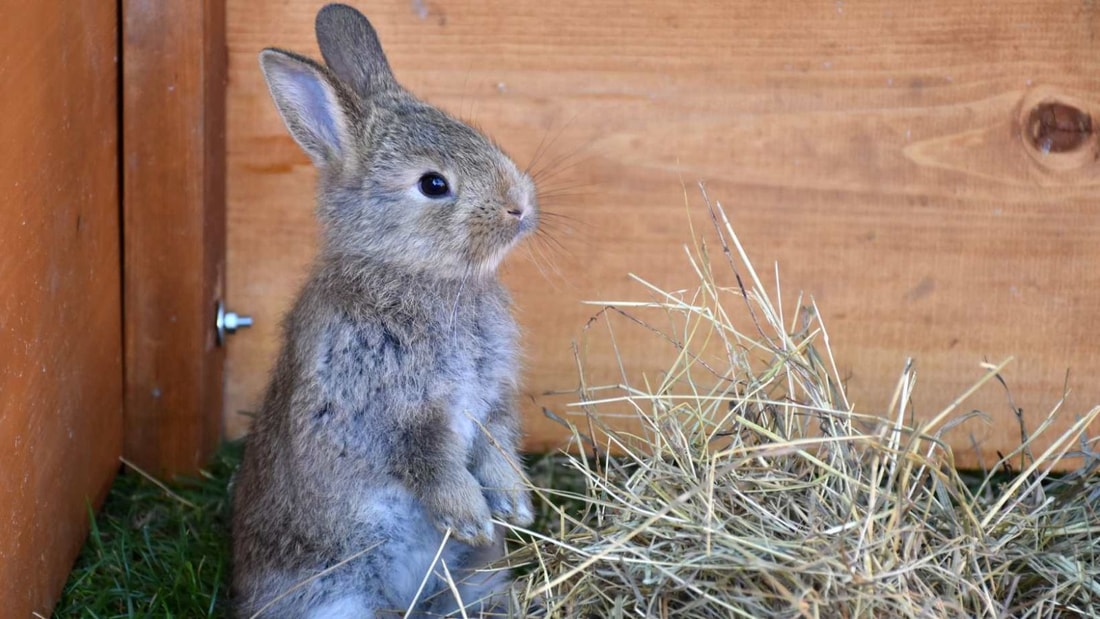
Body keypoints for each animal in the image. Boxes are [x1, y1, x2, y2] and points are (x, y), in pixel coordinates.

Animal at [231, 6, 536, 619]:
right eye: (434, 184)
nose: (520, 205)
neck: (412, 274)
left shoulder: (493, 397)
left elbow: (496, 439)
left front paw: (514, 505)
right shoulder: (383, 408)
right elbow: (428, 460)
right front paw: (469, 516)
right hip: (334, 599)